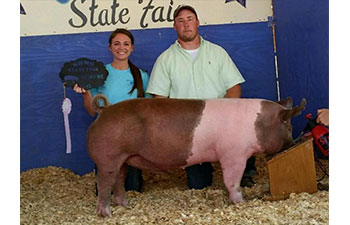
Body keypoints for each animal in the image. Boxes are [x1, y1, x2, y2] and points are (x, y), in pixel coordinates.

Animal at [87, 94, 306, 216]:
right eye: (288, 126)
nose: (293, 142)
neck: (257, 124)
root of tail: (103, 110)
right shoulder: (233, 154)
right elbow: (231, 181)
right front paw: (241, 201)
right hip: (108, 157)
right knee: (105, 183)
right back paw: (107, 214)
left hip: (123, 159)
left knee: (119, 180)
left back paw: (125, 205)